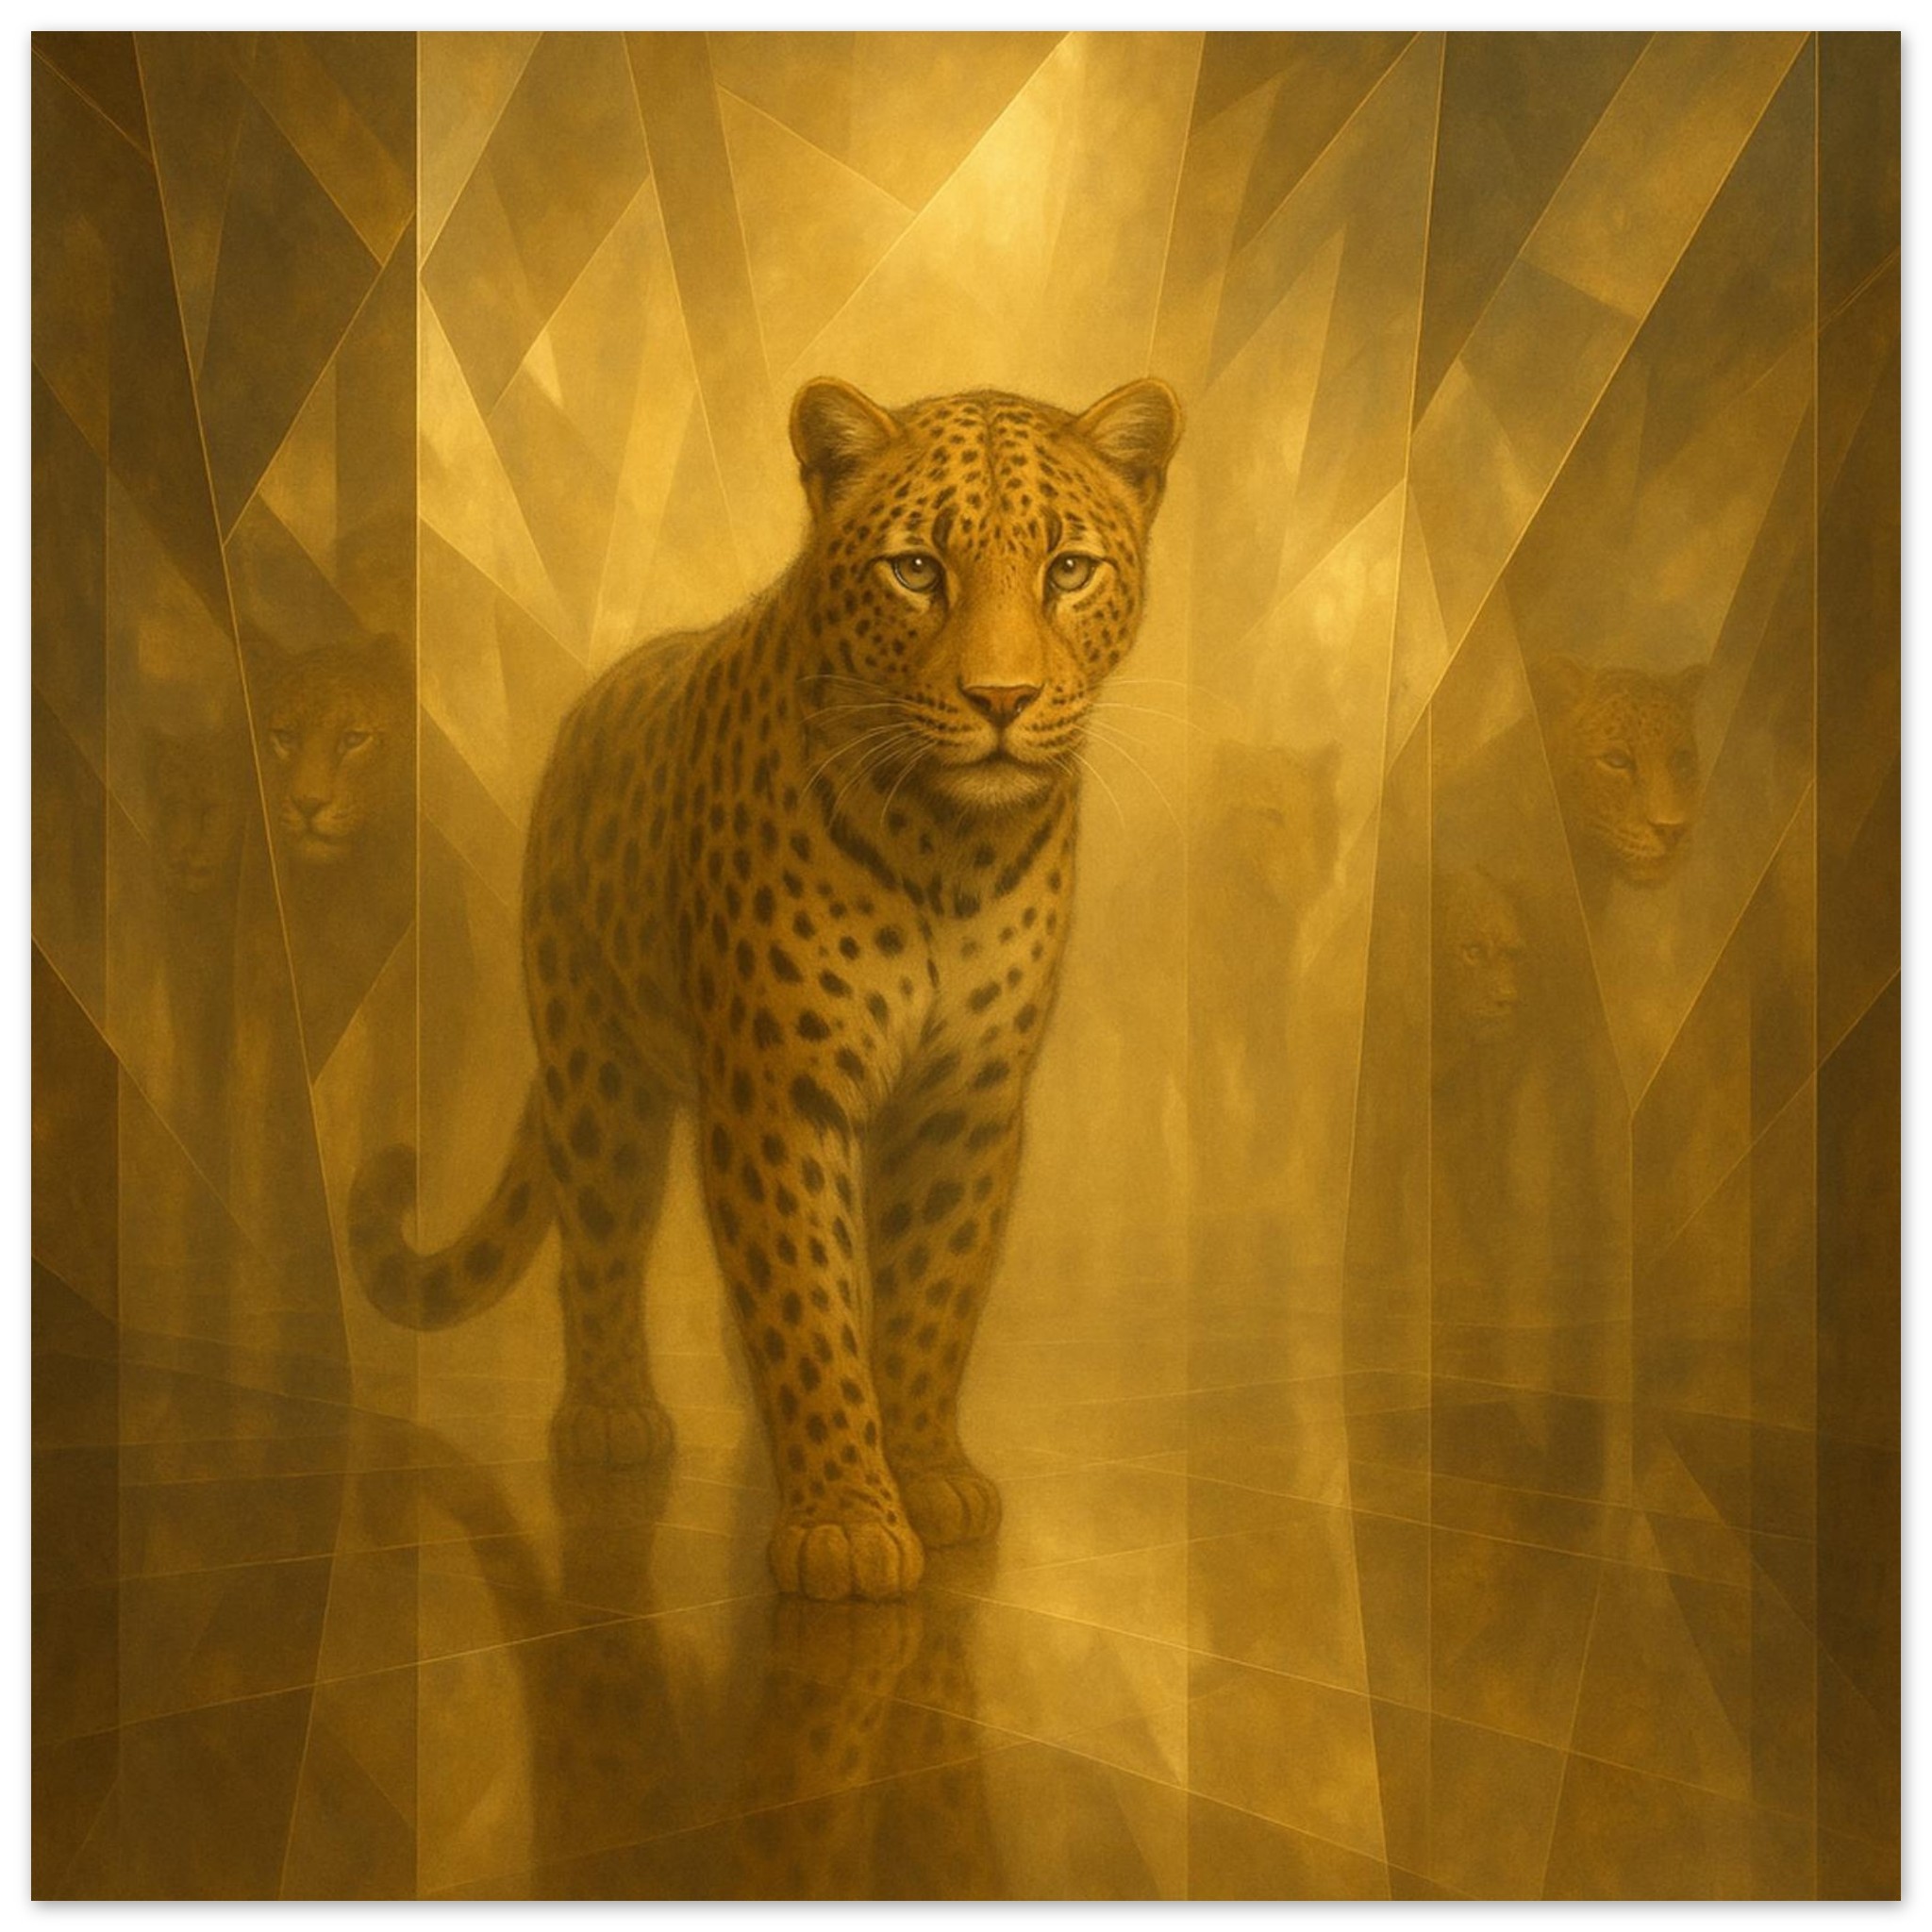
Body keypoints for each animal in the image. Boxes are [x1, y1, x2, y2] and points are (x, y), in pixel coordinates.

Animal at [350, 375, 1182, 1602]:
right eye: (915, 568)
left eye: (1066, 568)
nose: (1000, 696)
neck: (947, 847)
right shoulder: (777, 1089)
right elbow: (801, 1295)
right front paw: (843, 1520)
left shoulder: (967, 1099)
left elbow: (929, 1296)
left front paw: (921, 1471)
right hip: (595, 1066)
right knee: (600, 1236)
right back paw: (609, 1415)